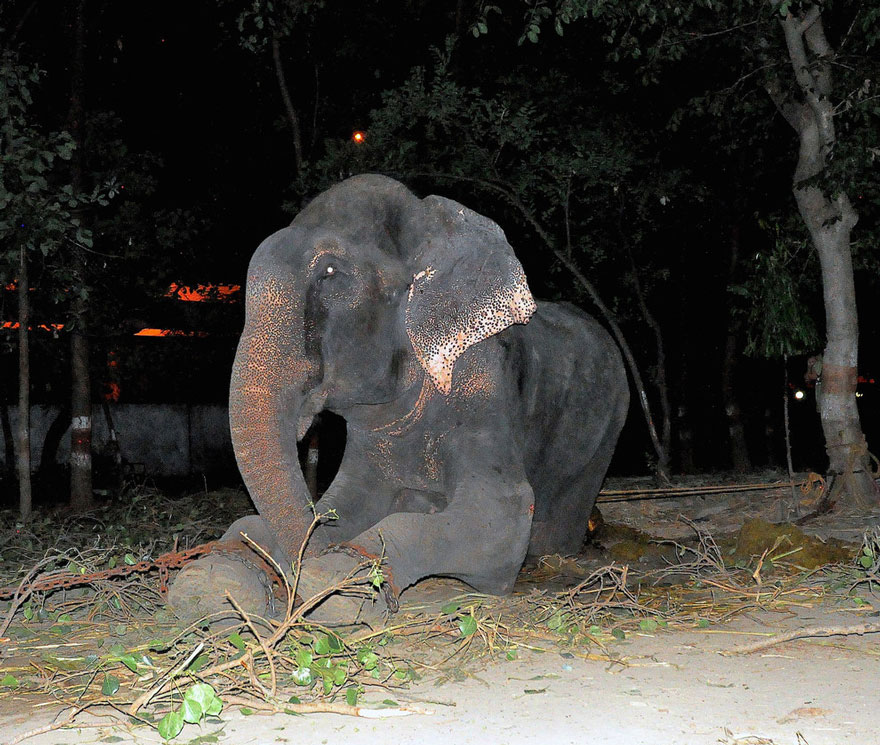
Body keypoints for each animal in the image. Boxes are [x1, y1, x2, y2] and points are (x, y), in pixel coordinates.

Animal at [168, 173, 628, 620]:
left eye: (331, 271)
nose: (294, 574)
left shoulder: (482, 380)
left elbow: (503, 513)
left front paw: (337, 585)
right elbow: (344, 502)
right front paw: (211, 581)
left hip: (605, 434)